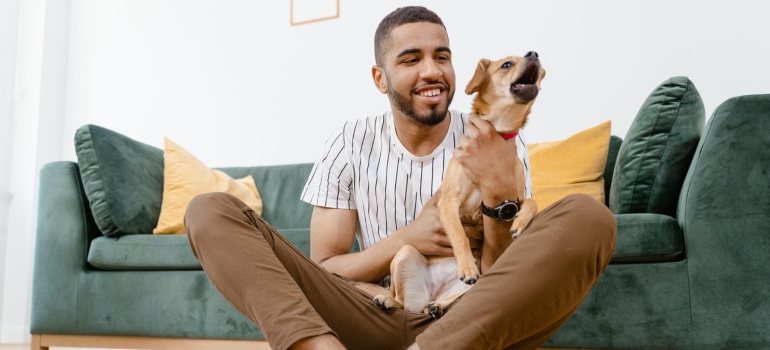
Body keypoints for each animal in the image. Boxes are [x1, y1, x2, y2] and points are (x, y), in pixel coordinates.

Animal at [356, 51, 544, 318]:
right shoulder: (449, 202)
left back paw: (436, 306)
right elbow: (459, 235)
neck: (497, 134)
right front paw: (466, 266)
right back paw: (388, 300)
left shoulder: (511, 198)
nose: (534, 53)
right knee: (401, 302)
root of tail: (431, 293)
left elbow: (532, 201)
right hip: (404, 253)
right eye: (506, 64)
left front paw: (519, 222)